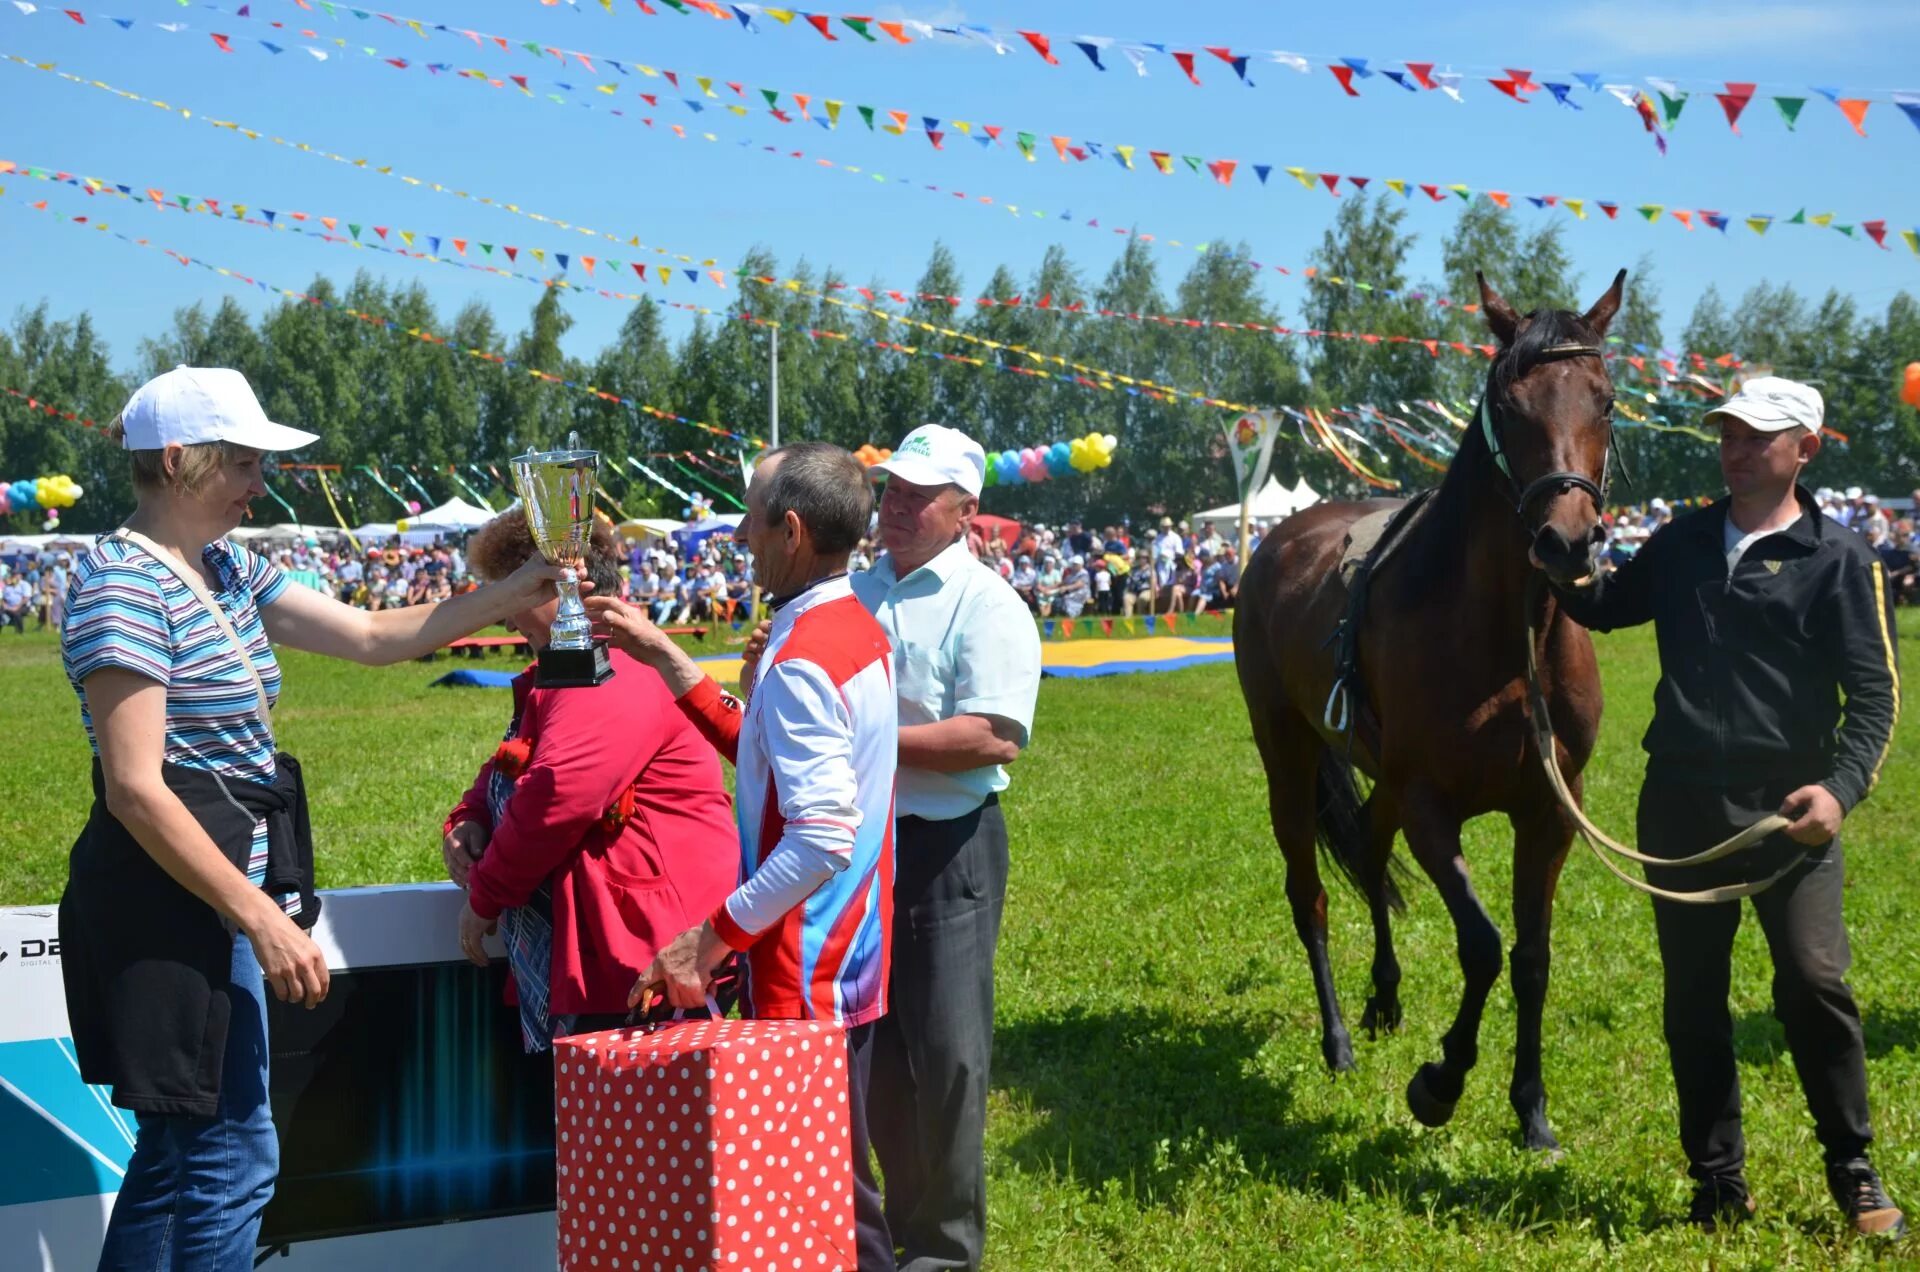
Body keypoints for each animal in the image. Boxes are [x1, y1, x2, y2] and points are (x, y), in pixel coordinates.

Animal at [1236, 269, 1628, 1152]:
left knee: (1370, 853)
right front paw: (1441, 1083)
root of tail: (1277, 540)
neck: (1505, 636)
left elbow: (1532, 956)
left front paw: (1532, 1108)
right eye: (1508, 406)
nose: (1567, 543)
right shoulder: (1429, 802)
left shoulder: (1550, 810)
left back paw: (1383, 998)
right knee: (1312, 894)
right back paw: (1339, 1040)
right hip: (1287, 757)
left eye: (1606, 399)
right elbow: (1482, 945)